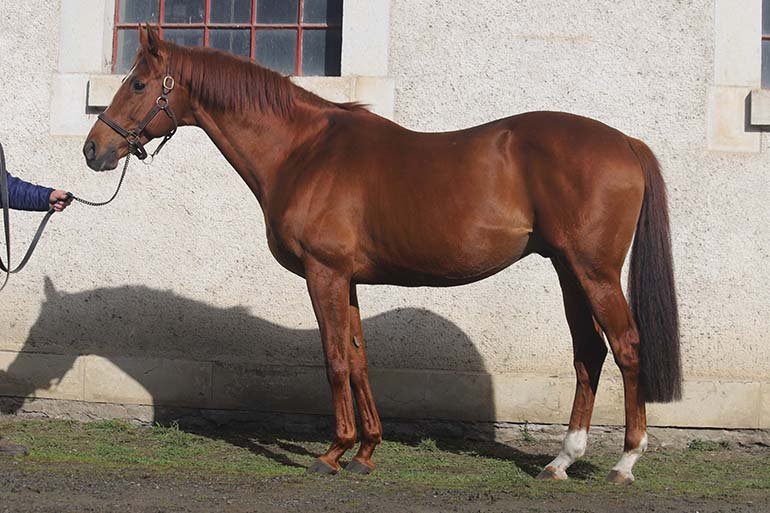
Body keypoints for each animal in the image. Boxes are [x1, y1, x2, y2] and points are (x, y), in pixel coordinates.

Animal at [83, 25, 681, 484]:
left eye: (138, 83)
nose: (94, 149)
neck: (303, 151)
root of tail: (626, 142)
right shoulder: (346, 279)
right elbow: (359, 358)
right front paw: (367, 450)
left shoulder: (323, 273)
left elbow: (333, 359)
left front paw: (332, 453)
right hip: (567, 269)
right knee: (589, 353)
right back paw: (561, 461)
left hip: (593, 271)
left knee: (626, 347)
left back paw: (624, 463)